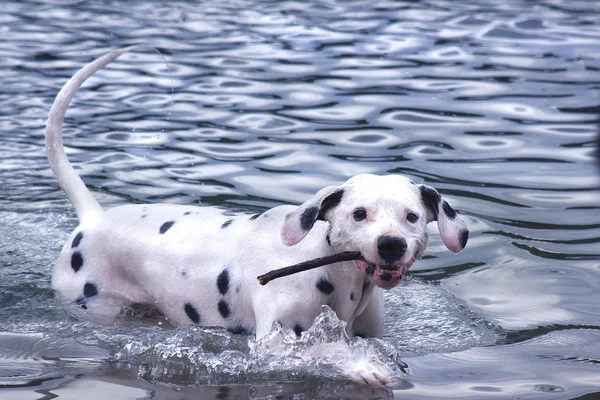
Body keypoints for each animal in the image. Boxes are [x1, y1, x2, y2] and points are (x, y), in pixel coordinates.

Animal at [45, 47, 468, 388]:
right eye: (359, 214)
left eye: (411, 217)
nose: (391, 244)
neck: (326, 271)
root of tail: (94, 217)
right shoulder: (276, 343)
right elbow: (323, 351)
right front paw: (360, 367)